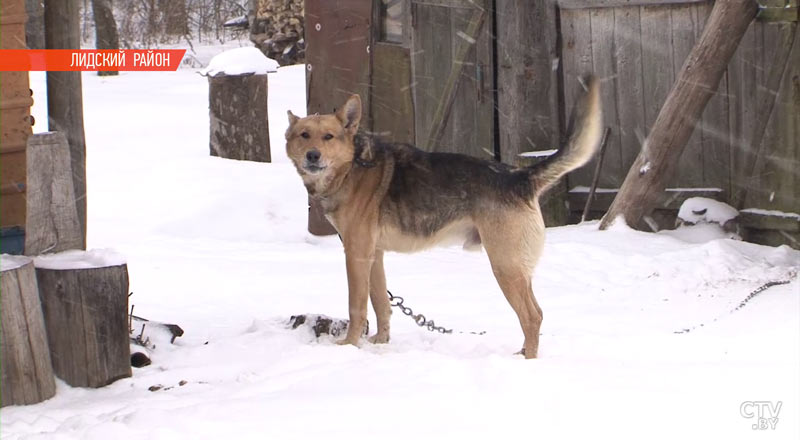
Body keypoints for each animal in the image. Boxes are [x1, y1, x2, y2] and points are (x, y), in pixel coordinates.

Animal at [288, 77, 600, 358]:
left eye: (328, 137)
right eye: (304, 135)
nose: (312, 156)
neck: (351, 166)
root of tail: (520, 176)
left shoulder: (356, 254)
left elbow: (357, 306)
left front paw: (350, 346)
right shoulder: (373, 255)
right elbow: (381, 304)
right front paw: (380, 343)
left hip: (505, 266)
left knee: (533, 316)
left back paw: (528, 362)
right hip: (518, 268)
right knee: (534, 314)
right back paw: (522, 352)